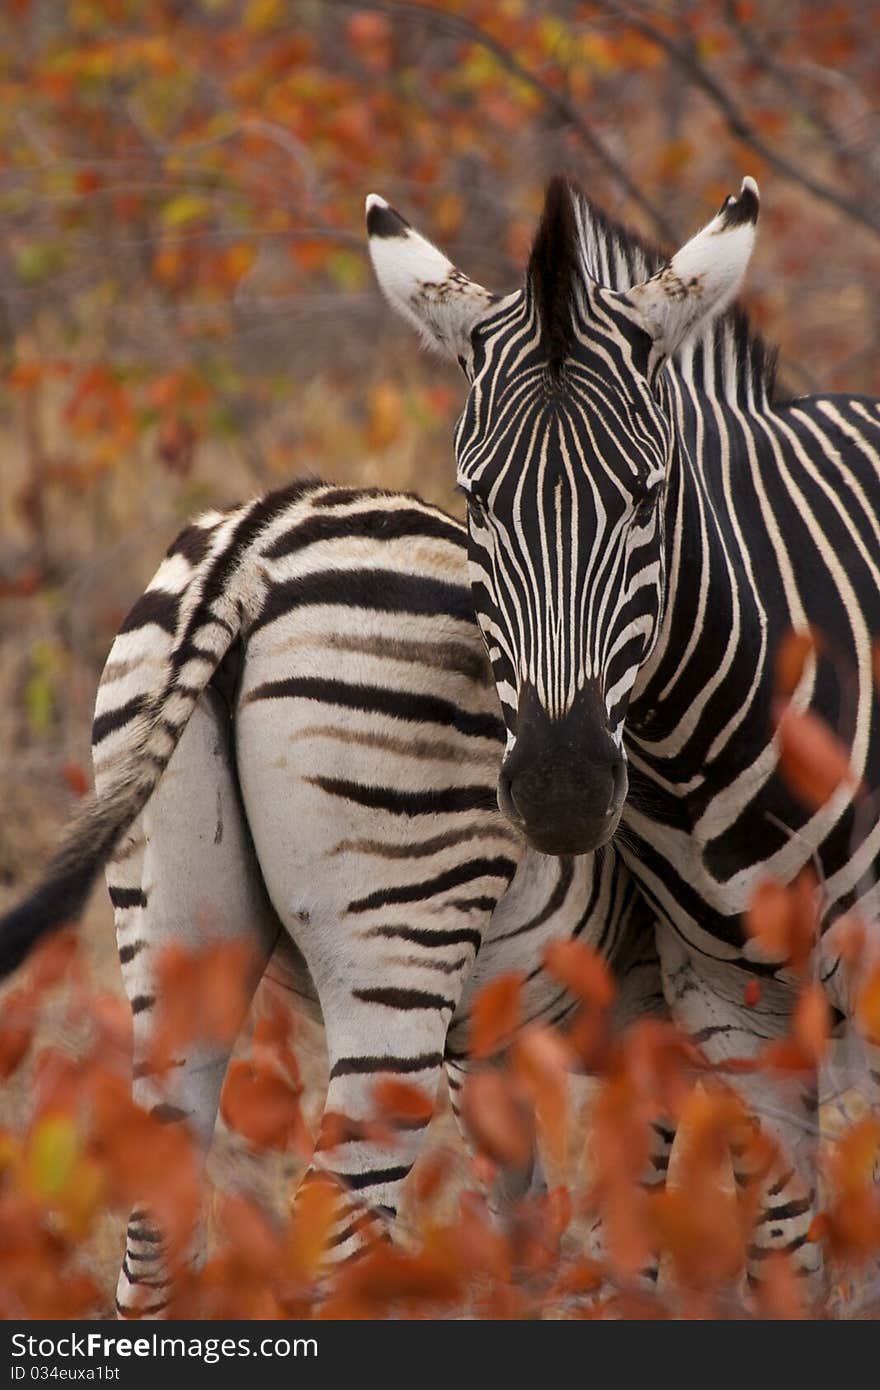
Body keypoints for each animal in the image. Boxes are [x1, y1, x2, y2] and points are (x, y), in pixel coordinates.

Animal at [0, 480, 658, 1312]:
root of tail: (247, 550)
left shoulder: (492, 1040)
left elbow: (531, 1214)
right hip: (398, 933)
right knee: (333, 1219)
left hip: (176, 926)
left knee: (156, 1222)